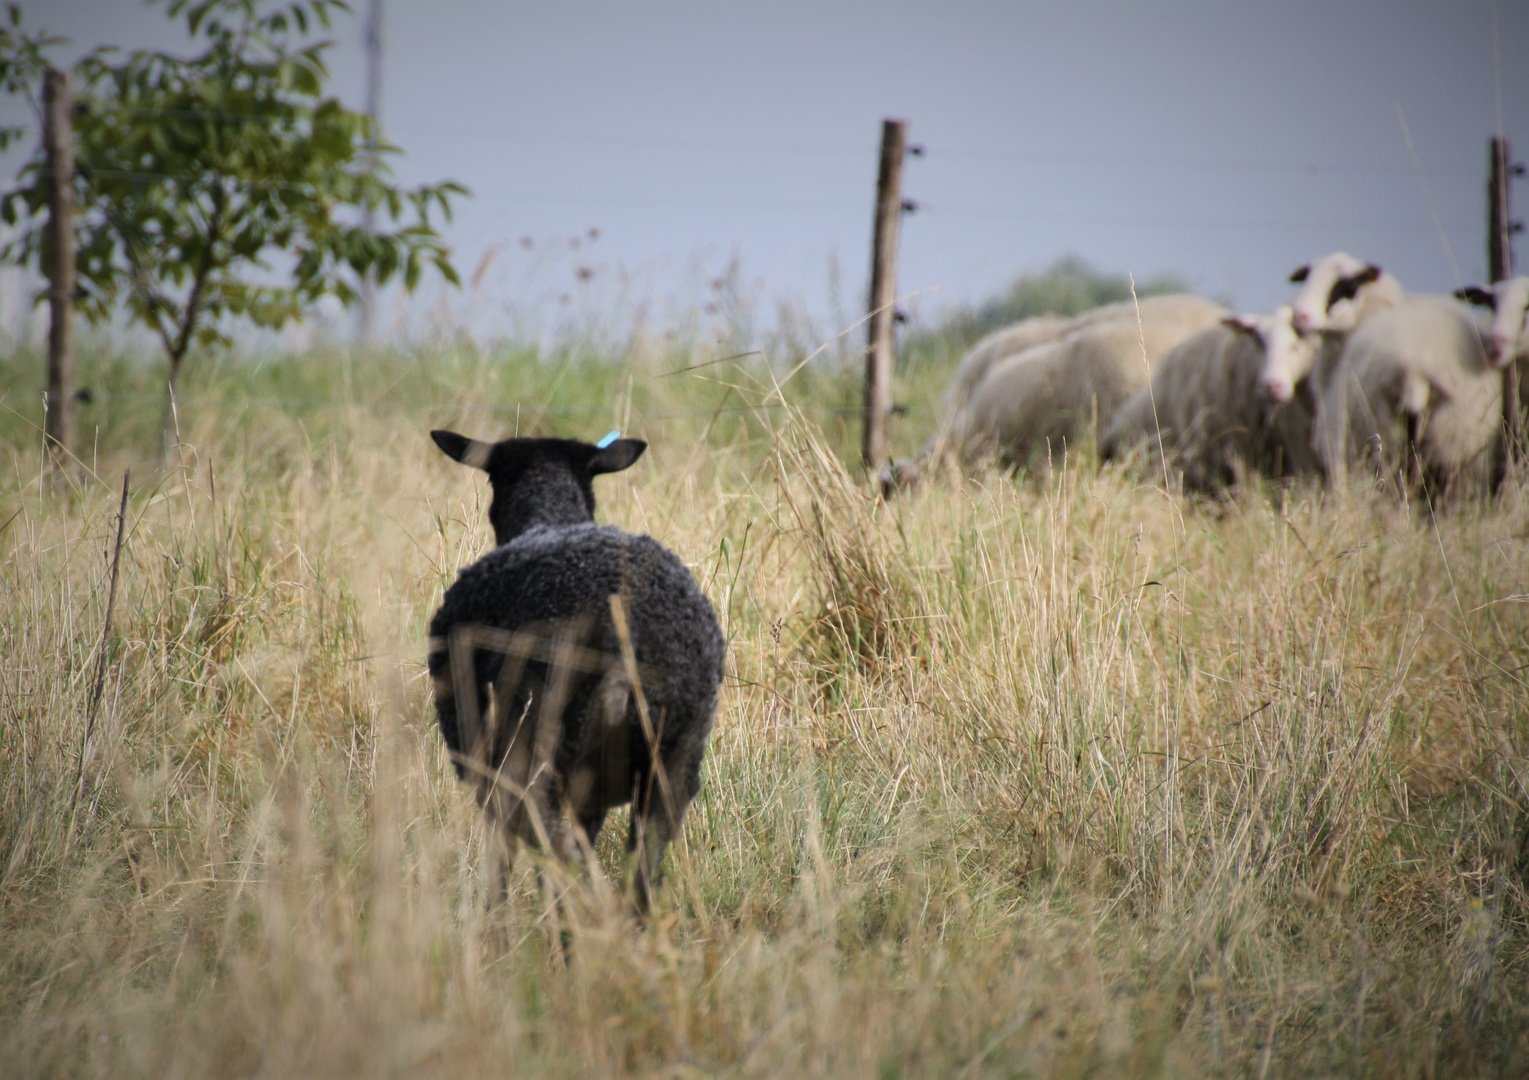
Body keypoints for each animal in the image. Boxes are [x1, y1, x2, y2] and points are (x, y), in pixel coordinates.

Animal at [422, 425, 724, 905]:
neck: (551, 516)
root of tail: (624, 646)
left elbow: (500, 861)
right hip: (673, 764)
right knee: (639, 876)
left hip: (544, 755)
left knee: (560, 861)